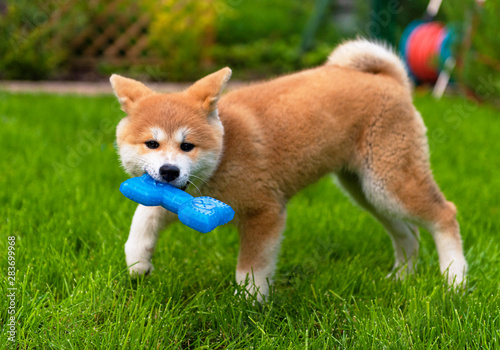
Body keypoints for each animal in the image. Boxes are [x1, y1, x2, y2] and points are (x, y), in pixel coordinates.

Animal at [111, 39, 466, 300]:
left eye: (188, 146)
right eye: (151, 144)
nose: (169, 171)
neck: (225, 153)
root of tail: (391, 80)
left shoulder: (265, 211)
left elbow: (251, 269)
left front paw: (248, 305)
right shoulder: (176, 196)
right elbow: (143, 218)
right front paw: (138, 263)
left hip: (388, 181)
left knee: (444, 214)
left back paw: (455, 279)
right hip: (366, 191)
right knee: (408, 233)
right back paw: (402, 276)